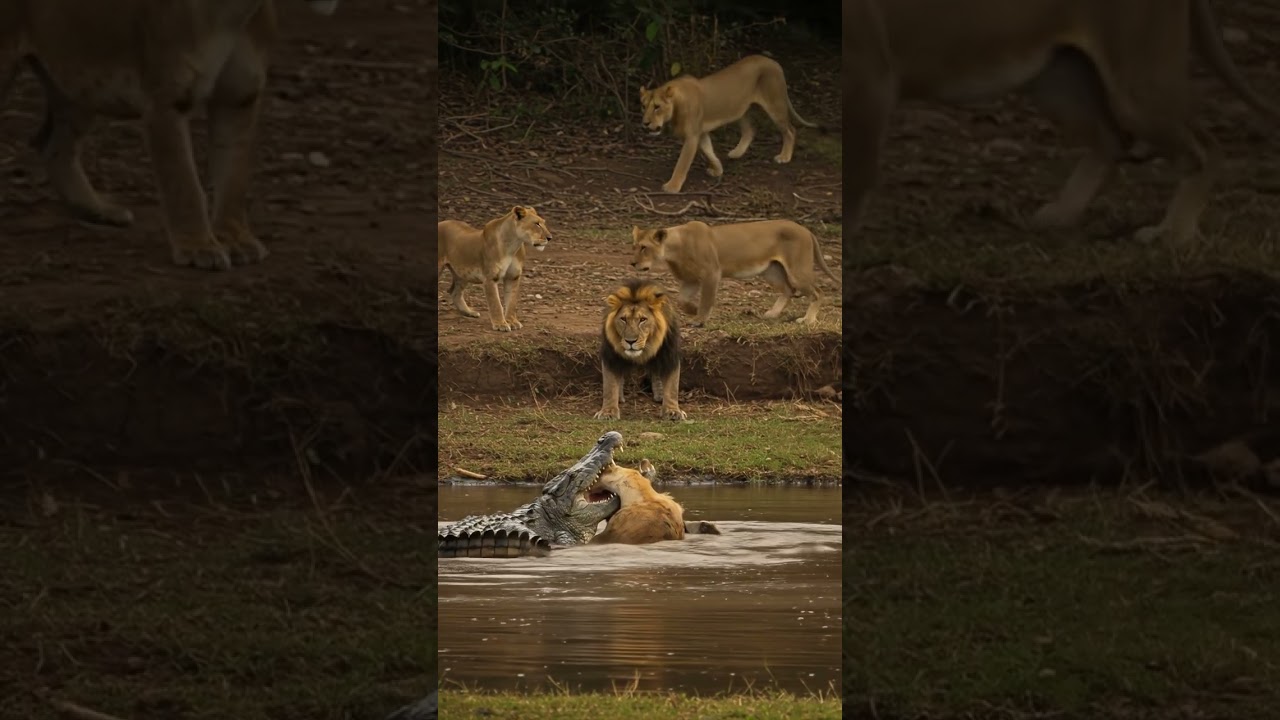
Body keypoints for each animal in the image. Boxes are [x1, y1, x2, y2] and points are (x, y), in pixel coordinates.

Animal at [0, 0, 340, 270]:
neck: (237, 12)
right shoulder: (166, 102)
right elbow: (183, 183)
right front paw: (199, 248)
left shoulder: (239, 99)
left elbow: (234, 177)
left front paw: (236, 239)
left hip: (78, 84)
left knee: (51, 145)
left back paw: (100, 210)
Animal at [594, 278, 685, 422]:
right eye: (623, 319)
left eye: (643, 319)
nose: (630, 341)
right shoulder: (611, 357)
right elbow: (609, 385)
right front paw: (608, 412)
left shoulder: (669, 355)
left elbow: (672, 386)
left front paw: (672, 411)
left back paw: (660, 394)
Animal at [630, 220, 837, 327]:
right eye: (634, 246)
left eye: (644, 247)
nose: (632, 263)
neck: (673, 250)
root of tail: (805, 229)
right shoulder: (690, 280)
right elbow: (682, 300)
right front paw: (693, 310)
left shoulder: (711, 273)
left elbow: (707, 299)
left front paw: (699, 319)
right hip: (772, 271)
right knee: (788, 291)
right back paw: (772, 314)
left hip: (797, 270)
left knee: (818, 292)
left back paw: (808, 320)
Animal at [639, 54, 820, 194]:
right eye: (643, 106)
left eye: (657, 107)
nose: (645, 123)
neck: (676, 106)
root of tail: (774, 62)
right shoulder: (701, 132)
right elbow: (708, 151)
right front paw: (717, 170)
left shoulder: (691, 137)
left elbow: (682, 163)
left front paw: (672, 186)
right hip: (740, 110)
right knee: (751, 130)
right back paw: (736, 153)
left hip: (775, 105)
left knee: (790, 130)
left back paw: (784, 157)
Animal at [841, 0, 1280, 259]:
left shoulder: (871, 75)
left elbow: (857, 175)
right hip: (1057, 78)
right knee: (1112, 142)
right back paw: (1060, 214)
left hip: (1138, 83)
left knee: (1206, 148)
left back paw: (1171, 235)